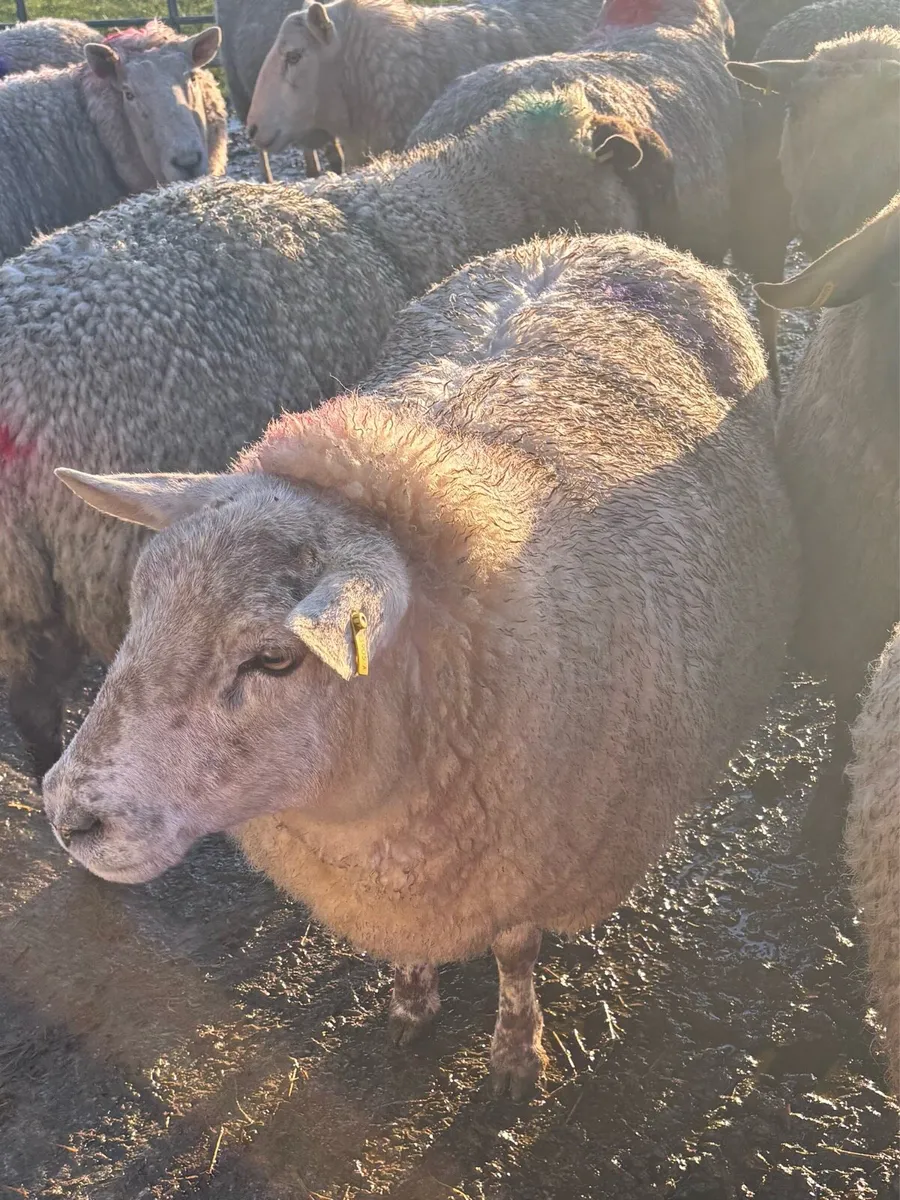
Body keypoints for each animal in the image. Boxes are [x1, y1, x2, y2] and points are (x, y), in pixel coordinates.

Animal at [42, 230, 797, 1097]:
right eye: (140, 606)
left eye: (274, 659)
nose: (67, 817)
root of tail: (601, 239)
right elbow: (410, 948)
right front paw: (408, 1005)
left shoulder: (525, 859)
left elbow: (515, 952)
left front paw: (515, 1053)